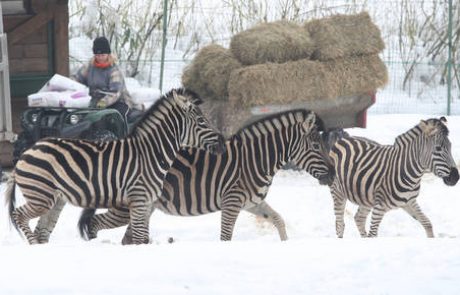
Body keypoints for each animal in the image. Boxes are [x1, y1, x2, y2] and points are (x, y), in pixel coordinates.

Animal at [4, 88, 225, 245]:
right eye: (201, 121)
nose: (222, 143)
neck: (151, 153)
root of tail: (27, 151)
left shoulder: (145, 203)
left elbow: (142, 238)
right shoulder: (138, 200)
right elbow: (139, 239)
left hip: (55, 199)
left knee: (42, 229)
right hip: (41, 196)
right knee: (19, 215)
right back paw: (32, 246)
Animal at [75, 108, 334, 243]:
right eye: (315, 145)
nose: (332, 176)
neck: (256, 160)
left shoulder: (252, 202)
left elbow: (278, 220)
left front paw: (285, 245)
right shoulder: (232, 203)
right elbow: (226, 236)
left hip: (144, 207)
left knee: (126, 237)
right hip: (126, 205)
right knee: (95, 223)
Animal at [328, 117, 458, 239]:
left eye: (451, 146)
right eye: (438, 149)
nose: (456, 177)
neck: (411, 175)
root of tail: (344, 139)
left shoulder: (409, 202)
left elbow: (427, 223)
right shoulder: (380, 206)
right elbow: (373, 233)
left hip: (366, 197)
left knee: (359, 218)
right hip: (338, 191)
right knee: (340, 224)